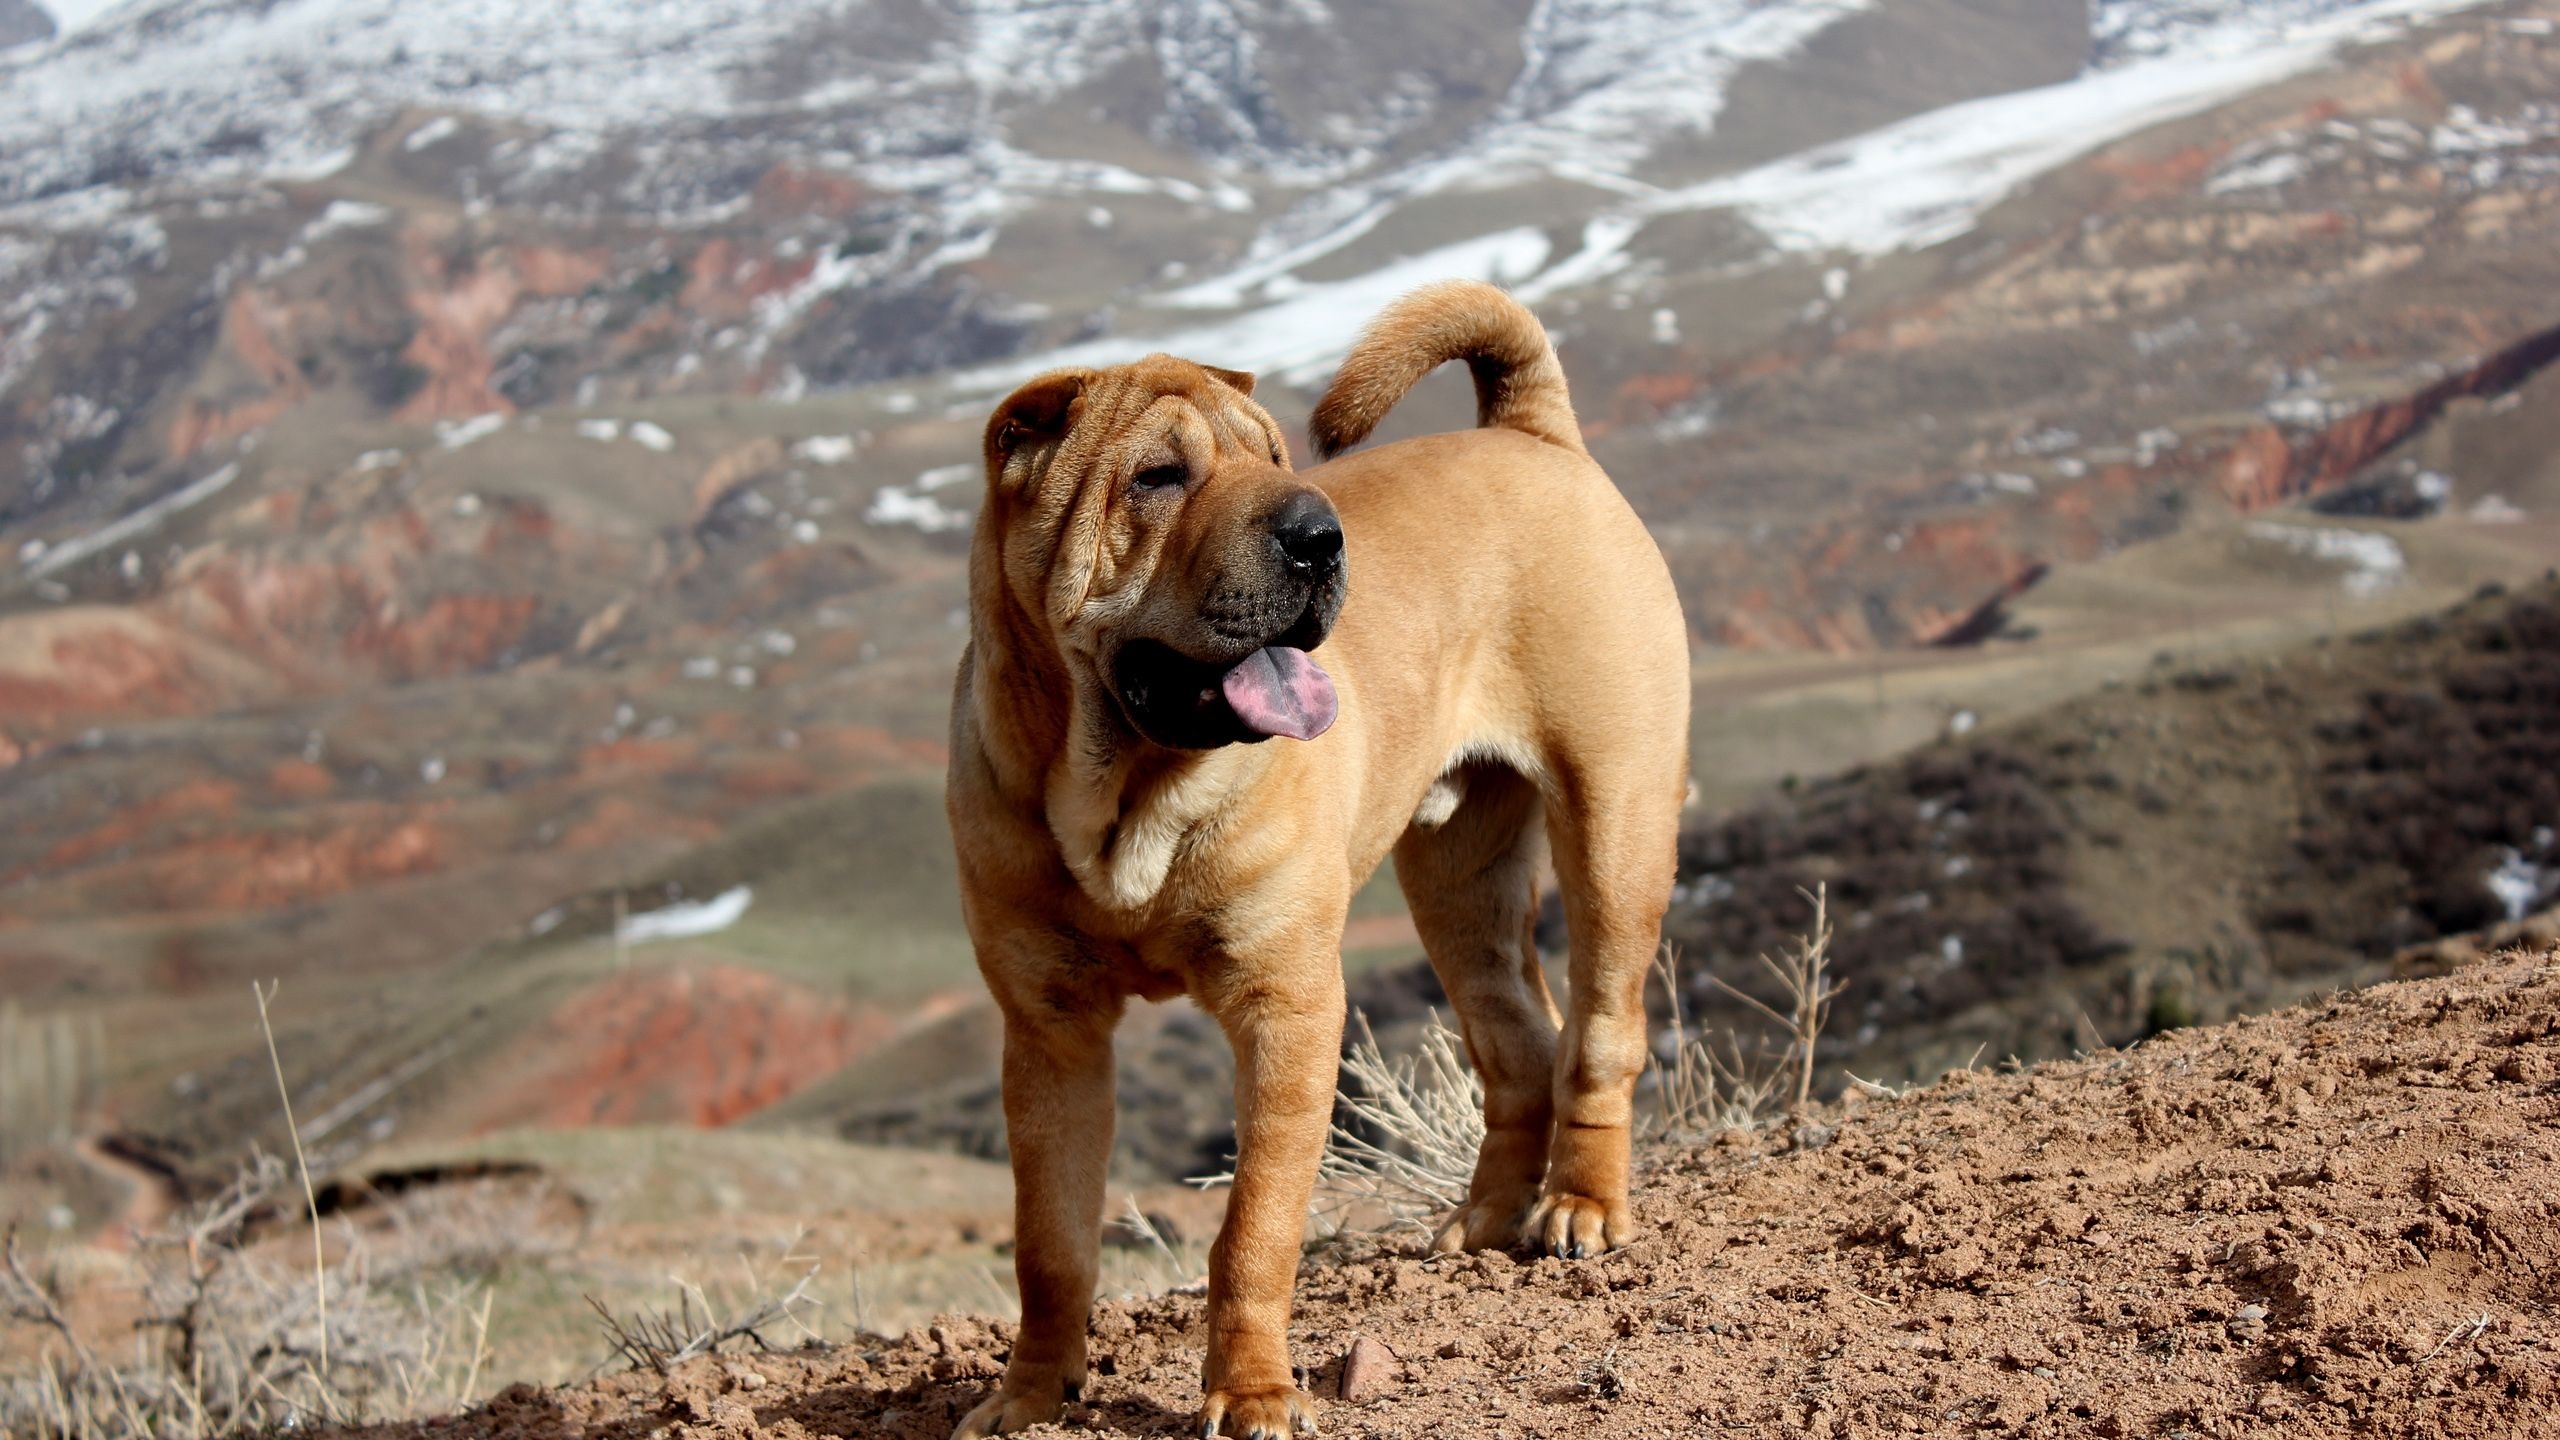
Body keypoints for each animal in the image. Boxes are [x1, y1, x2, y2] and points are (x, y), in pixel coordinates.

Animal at [952, 280, 1689, 1434]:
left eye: (1273, 458)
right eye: (1157, 477)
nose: (1317, 534)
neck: (1125, 796)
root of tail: (1534, 436)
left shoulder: (1285, 1007)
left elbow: (1253, 1229)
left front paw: (1252, 1394)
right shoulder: (1050, 1033)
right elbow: (1049, 1242)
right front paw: (1029, 1396)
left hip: (1617, 827)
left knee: (1602, 1032)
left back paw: (1578, 1208)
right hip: (1458, 885)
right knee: (1518, 1043)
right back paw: (1481, 1224)